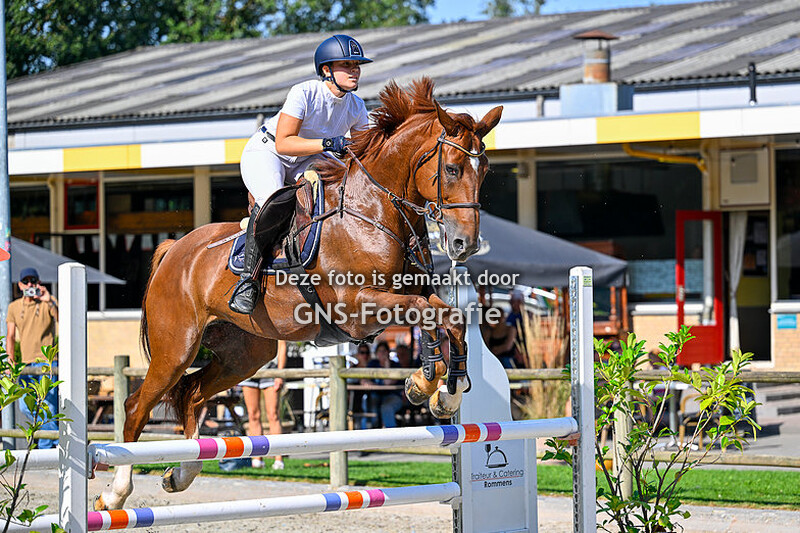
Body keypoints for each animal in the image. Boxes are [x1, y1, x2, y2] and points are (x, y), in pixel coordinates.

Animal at [95, 77, 502, 510]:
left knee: (193, 395)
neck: (375, 214)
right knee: (137, 406)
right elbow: (423, 313)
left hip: (245, 353)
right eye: (453, 168)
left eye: (485, 171)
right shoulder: (358, 310)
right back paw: (115, 494)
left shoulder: (408, 298)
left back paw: (182, 472)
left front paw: (442, 392)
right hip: (176, 348)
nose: (464, 245)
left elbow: (447, 317)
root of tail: (176, 249)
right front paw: (427, 383)